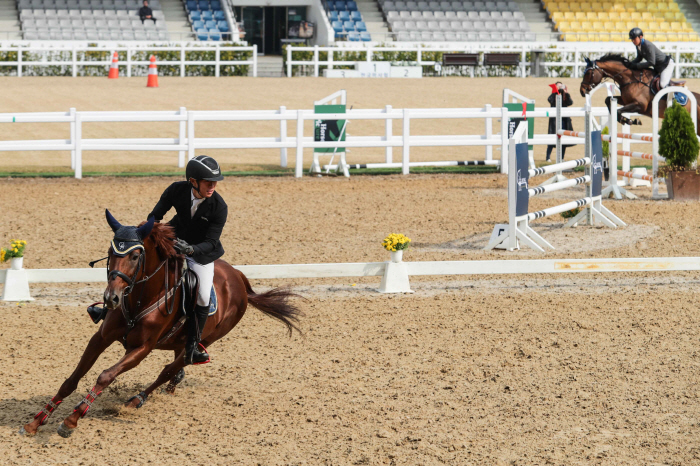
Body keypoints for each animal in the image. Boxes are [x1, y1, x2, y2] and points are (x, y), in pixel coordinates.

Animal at [19, 209, 300, 438]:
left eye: (135, 256)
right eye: (110, 253)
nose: (111, 298)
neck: (139, 297)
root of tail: (239, 277)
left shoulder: (141, 349)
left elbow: (105, 375)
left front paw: (72, 420)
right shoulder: (100, 338)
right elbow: (73, 378)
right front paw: (36, 421)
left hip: (206, 338)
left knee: (171, 367)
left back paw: (136, 400)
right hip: (181, 339)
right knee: (176, 367)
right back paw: (170, 387)